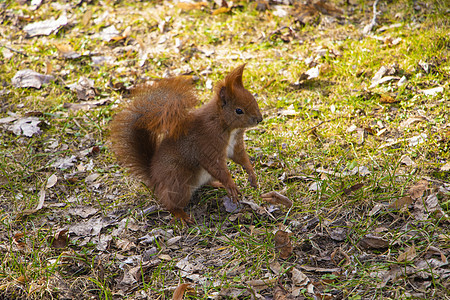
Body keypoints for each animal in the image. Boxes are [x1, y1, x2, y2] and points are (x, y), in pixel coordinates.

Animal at [110, 64, 264, 224]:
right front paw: (230, 184)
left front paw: (251, 174)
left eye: (253, 98)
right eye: (239, 110)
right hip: (179, 181)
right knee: (170, 203)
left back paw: (217, 184)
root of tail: (154, 179)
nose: (259, 119)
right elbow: (215, 166)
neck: (224, 124)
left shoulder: (235, 145)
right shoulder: (207, 143)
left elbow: (241, 158)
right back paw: (181, 215)